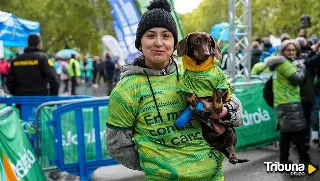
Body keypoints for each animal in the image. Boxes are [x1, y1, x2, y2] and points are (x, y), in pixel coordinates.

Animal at [176, 31, 249, 165]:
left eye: (209, 41)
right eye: (196, 41)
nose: (206, 54)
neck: (199, 69)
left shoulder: (223, 82)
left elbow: (217, 91)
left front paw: (218, 105)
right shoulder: (184, 82)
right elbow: (188, 91)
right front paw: (192, 98)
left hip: (230, 131)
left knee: (231, 147)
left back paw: (233, 157)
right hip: (211, 140)